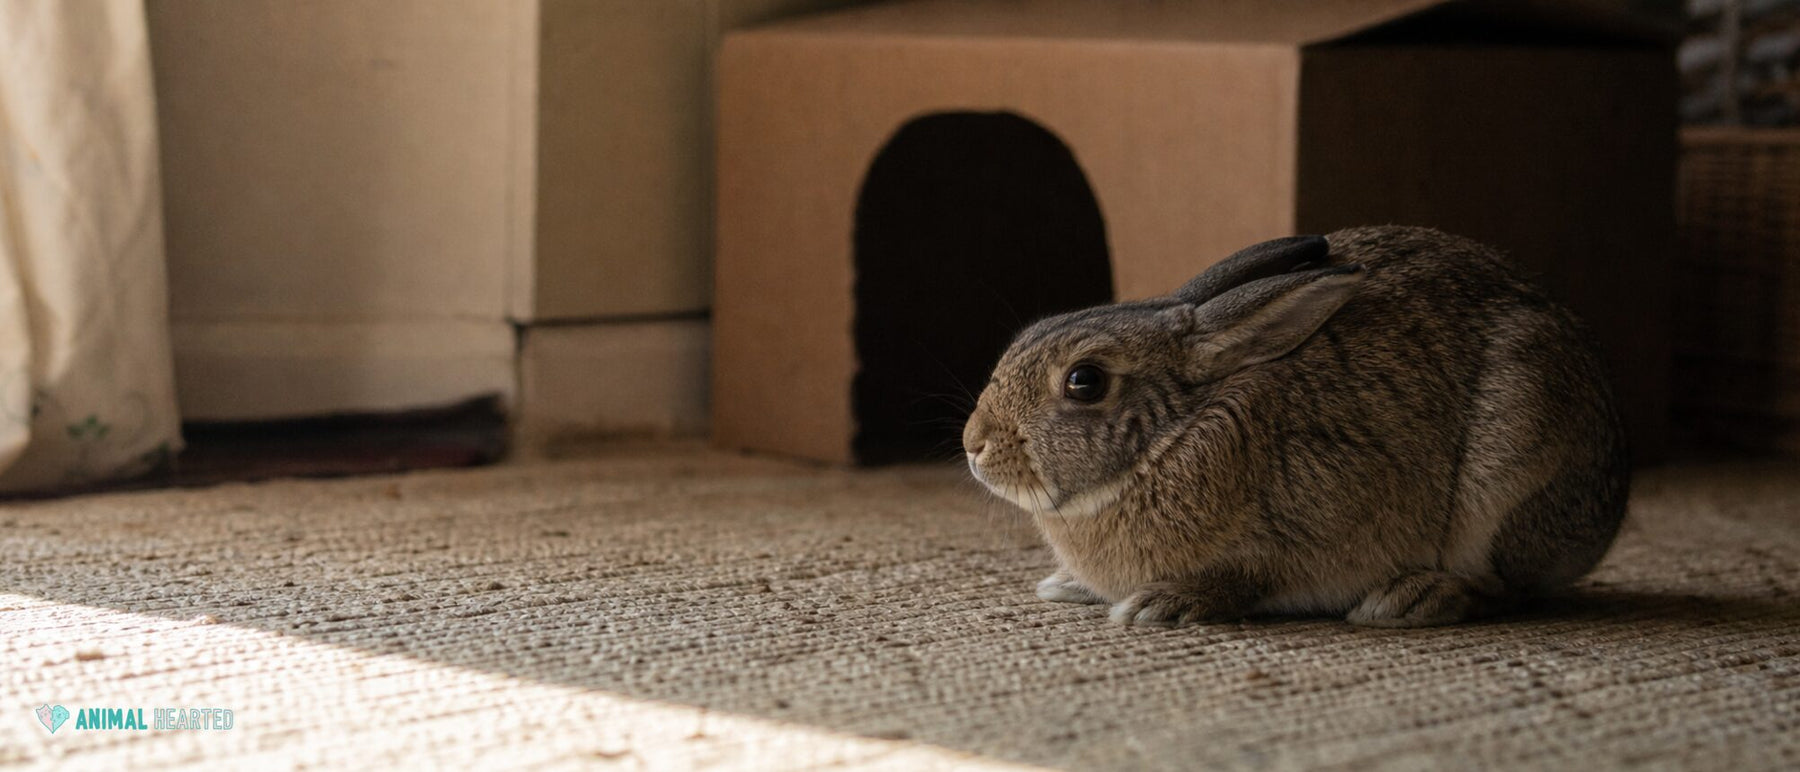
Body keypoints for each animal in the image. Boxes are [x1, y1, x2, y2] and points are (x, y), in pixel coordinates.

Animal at [961, 226, 1630, 628]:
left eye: (1084, 382)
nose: (974, 443)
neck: (1173, 435)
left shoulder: (1302, 535)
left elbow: (1242, 579)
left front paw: (1159, 605)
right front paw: (1067, 585)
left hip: (1506, 479)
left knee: (1507, 587)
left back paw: (1410, 599)